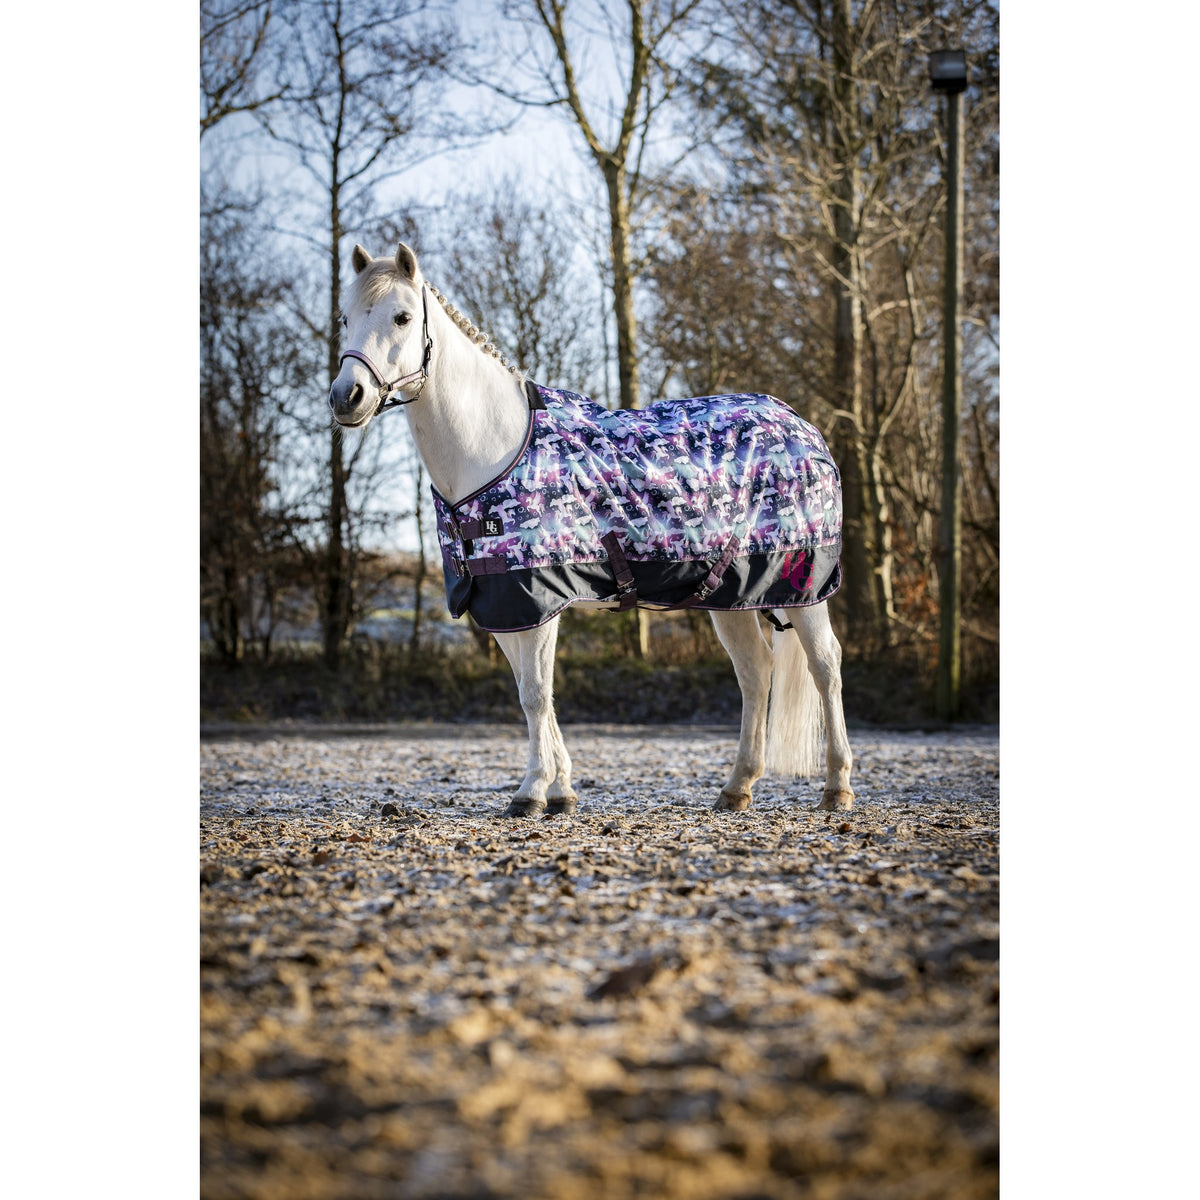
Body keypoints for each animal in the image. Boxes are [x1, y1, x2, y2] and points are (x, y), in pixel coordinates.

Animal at [328, 243, 854, 817]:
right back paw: (737, 788)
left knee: (825, 666)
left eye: (402, 317)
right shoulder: (505, 603)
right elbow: (532, 690)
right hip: (731, 593)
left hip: (804, 587)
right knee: (756, 671)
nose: (346, 397)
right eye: (346, 318)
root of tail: (801, 425)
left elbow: (536, 693)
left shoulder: (538, 599)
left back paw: (836, 786)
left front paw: (531, 793)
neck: (495, 449)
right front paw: (560, 791)